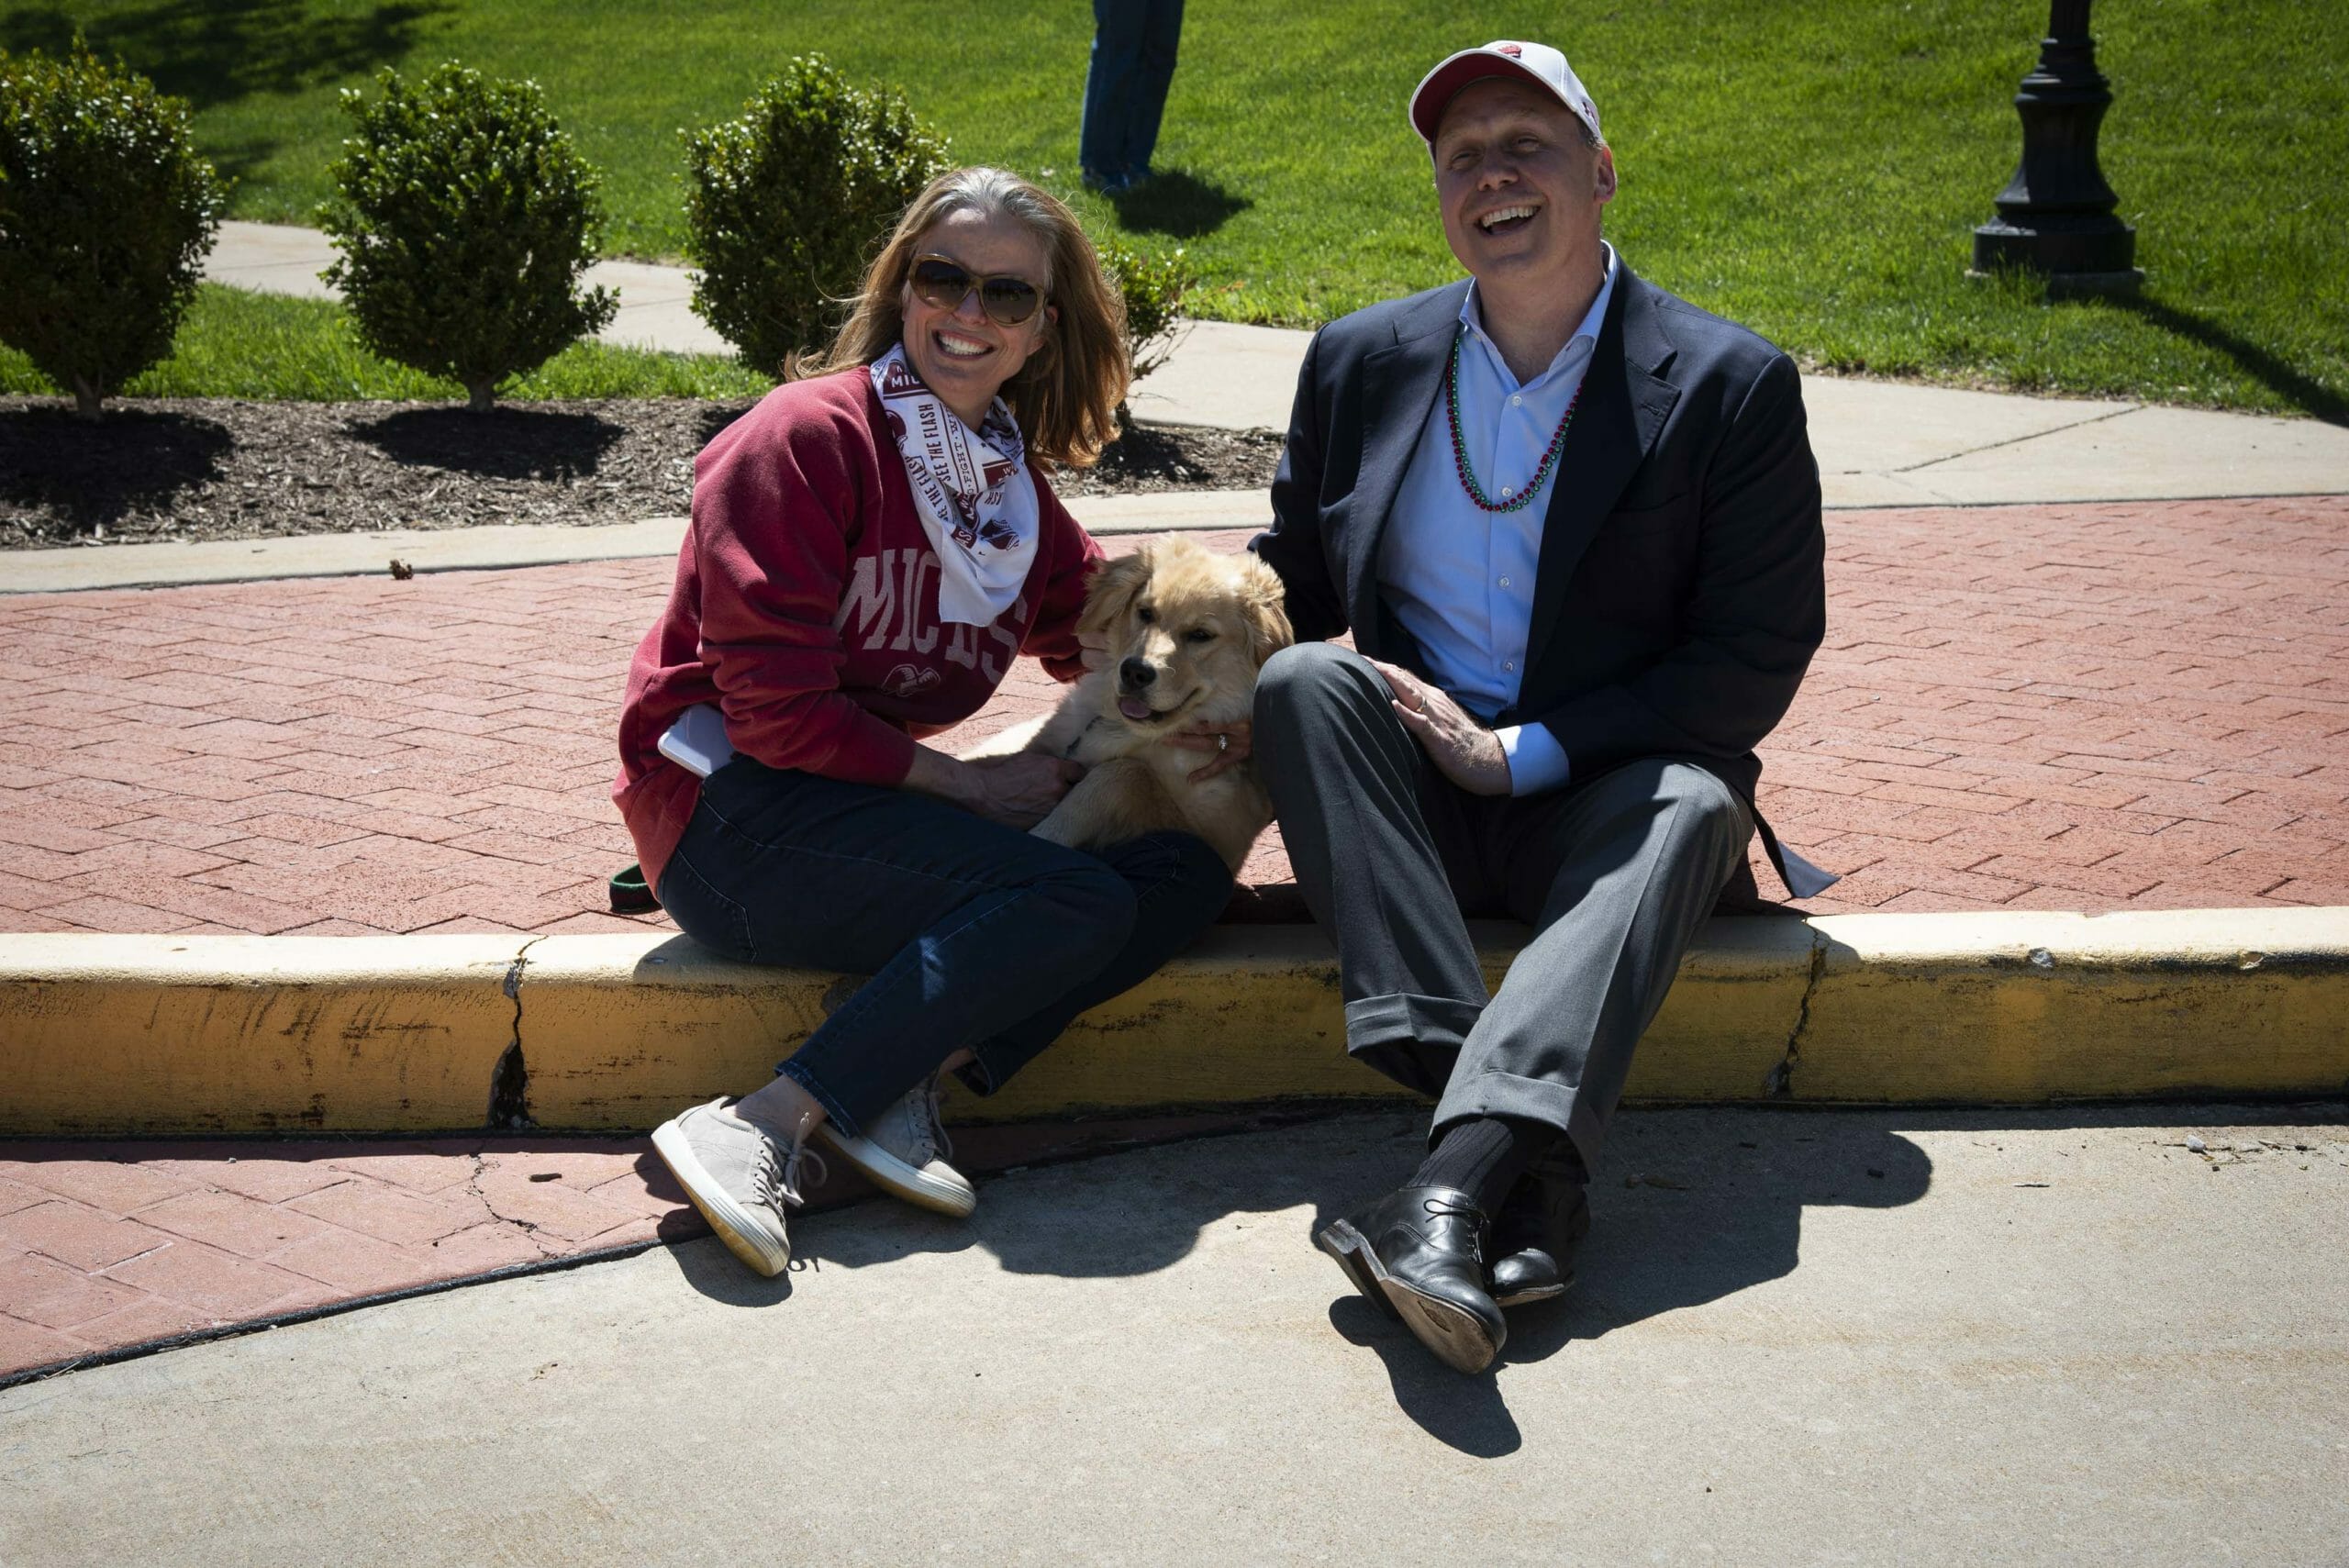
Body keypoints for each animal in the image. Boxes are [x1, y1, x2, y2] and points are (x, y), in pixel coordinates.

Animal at [969, 536, 1293, 871]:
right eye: (1146, 613)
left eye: (1201, 635)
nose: (1135, 672)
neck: (1126, 729)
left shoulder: (1218, 835)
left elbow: (1124, 775)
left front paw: (1041, 837)